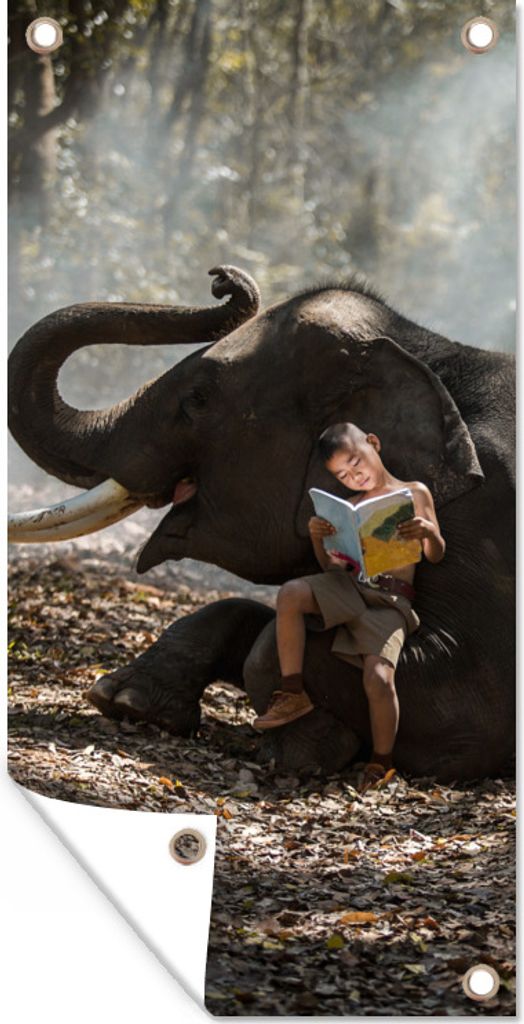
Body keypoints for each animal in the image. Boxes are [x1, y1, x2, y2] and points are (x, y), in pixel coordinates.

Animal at [8, 265, 515, 782]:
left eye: (198, 399)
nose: (222, 279)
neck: (432, 354)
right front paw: (125, 700)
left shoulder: (490, 512)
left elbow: (470, 710)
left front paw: (302, 750)